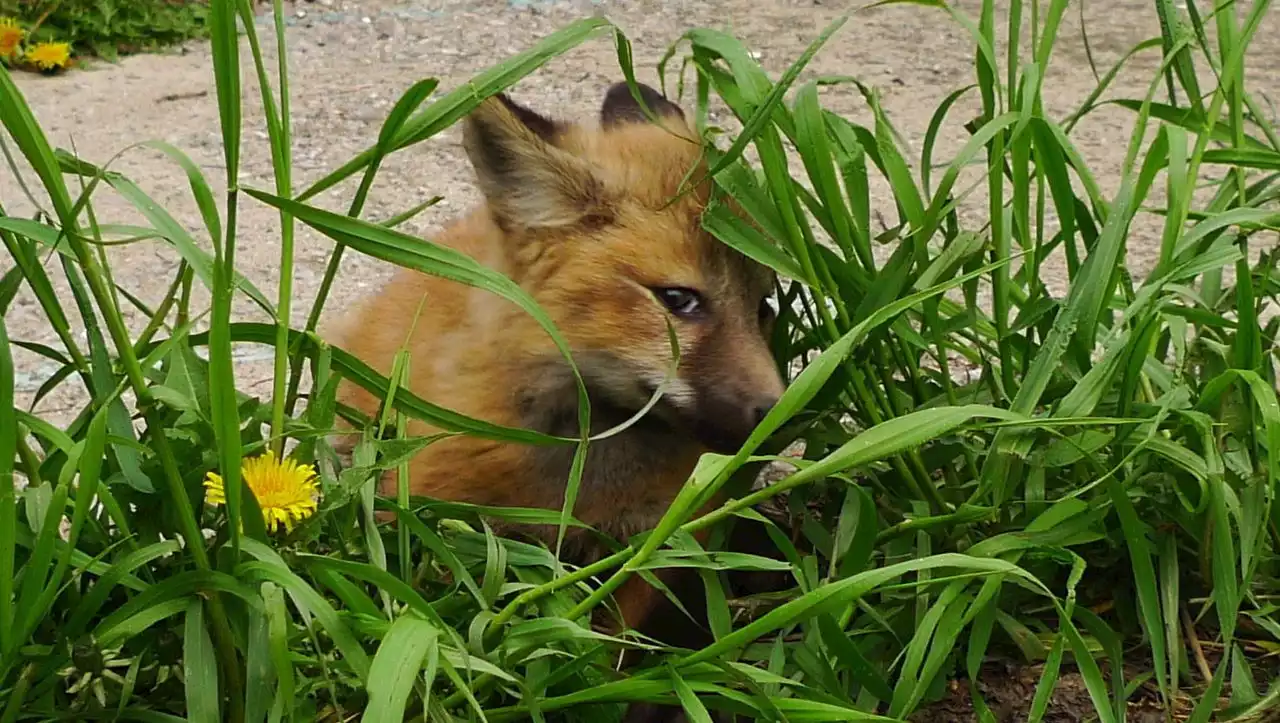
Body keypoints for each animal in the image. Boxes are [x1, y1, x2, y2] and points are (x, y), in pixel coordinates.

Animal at [330, 81, 783, 639]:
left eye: (763, 307)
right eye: (679, 299)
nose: (779, 414)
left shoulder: (653, 547)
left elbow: (613, 649)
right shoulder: (433, 523)